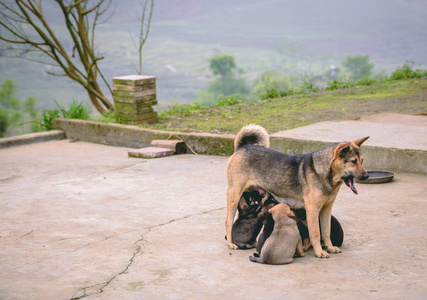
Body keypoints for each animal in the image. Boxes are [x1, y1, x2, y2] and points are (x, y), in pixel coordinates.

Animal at [226, 124, 370, 258]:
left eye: (362, 161)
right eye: (353, 161)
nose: (367, 176)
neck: (323, 171)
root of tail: (242, 147)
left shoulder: (326, 209)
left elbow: (326, 231)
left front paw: (329, 247)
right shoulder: (312, 210)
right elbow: (316, 233)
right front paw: (319, 252)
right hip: (234, 196)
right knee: (228, 221)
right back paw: (231, 243)